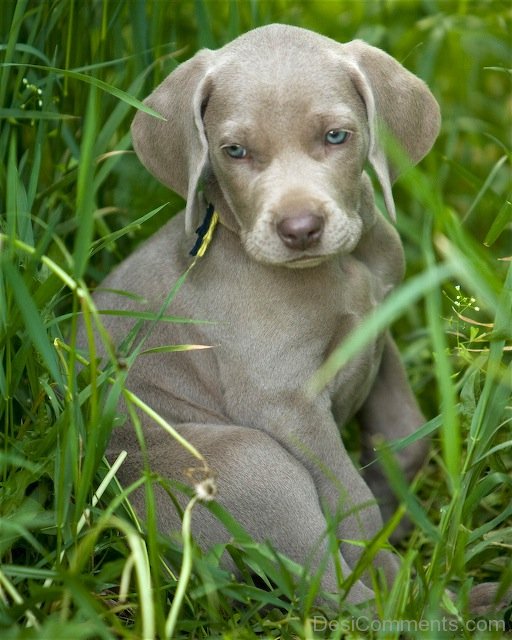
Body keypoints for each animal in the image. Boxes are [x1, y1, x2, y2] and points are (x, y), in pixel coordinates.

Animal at [92, 23, 460, 604]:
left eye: (336, 137)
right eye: (235, 151)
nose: (300, 229)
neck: (341, 268)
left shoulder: (377, 330)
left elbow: (406, 435)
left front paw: (394, 503)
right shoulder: (284, 402)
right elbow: (349, 501)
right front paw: (381, 553)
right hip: (252, 461)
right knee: (331, 587)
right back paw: (418, 604)